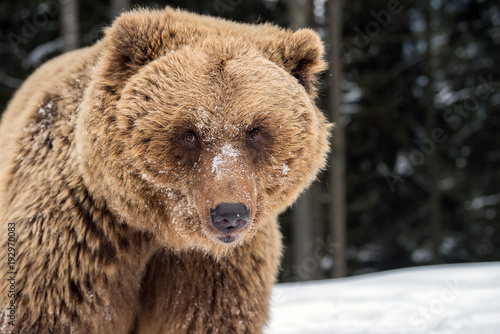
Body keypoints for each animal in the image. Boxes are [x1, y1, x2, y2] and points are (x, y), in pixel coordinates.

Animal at [0, 5, 332, 334]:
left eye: (255, 131)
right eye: (190, 133)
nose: (230, 214)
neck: (163, 232)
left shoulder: (213, 273)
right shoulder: (79, 243)